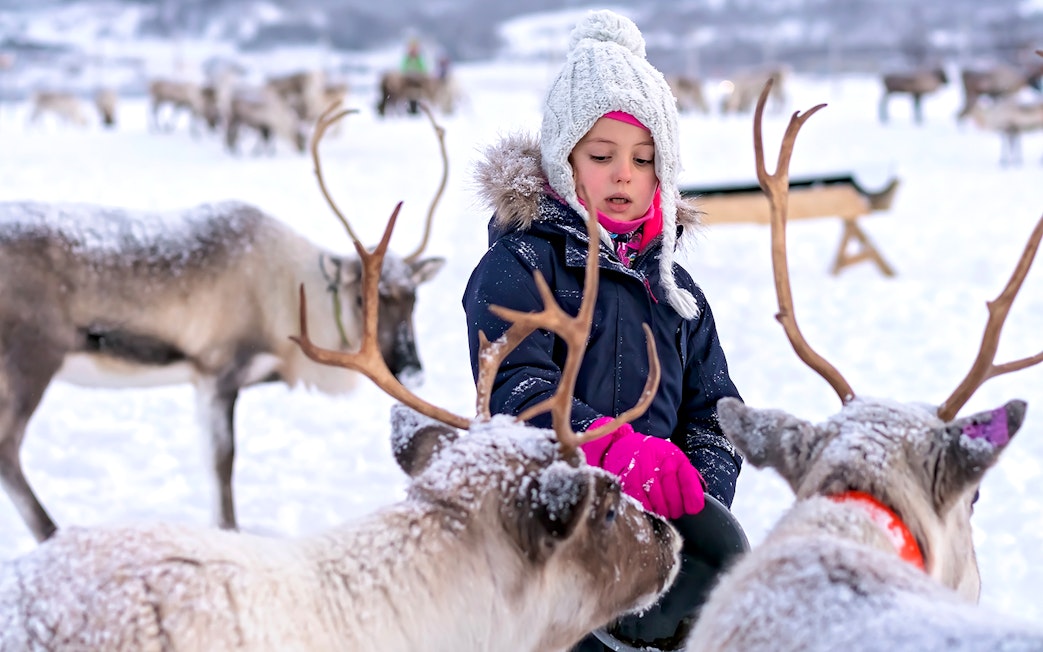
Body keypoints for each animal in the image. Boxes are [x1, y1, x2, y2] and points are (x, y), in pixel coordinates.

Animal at [0, 103, 449, 544]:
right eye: (361, 297)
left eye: (414, 297)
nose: (412, 368)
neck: (290, 301)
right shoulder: (219, 371)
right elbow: (223, 462)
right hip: (31, 361)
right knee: (7, 449)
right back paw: (51, 533)